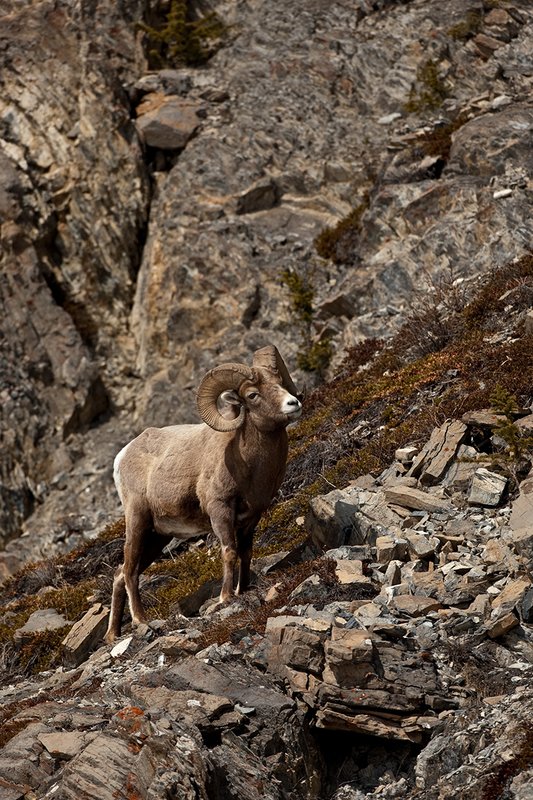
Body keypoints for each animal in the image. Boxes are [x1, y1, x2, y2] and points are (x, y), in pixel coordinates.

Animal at [104, 345, 302, 643]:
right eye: (253, 395)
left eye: (279, 382)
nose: (293, 403)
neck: (248, 464)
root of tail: (122, 456)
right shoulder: (220, 511)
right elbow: (229, 552)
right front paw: (225, 597)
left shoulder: (251, 517)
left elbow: (246, 552)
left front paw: (243, 591)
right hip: (138, 522)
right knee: (128, 572)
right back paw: (140, 620)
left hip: (158, 537)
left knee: (120, 573)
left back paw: (113, 635)